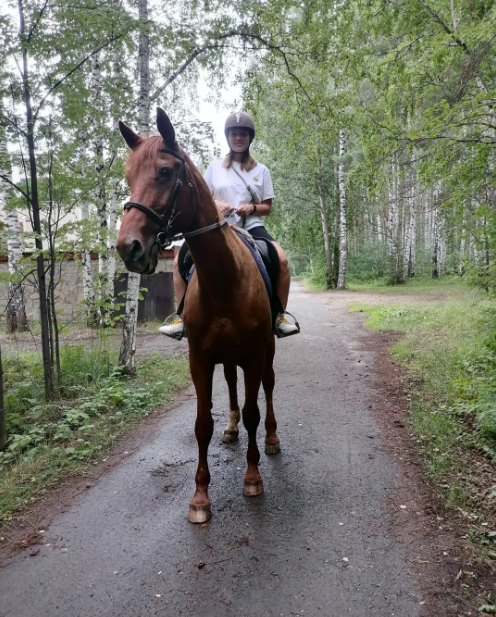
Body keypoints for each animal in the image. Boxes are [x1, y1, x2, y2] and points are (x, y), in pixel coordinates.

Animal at [114, 108, 280, 524]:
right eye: (128, 176)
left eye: (164, 172)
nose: (127, 247)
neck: (223, 279)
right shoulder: (200, 359)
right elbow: (202, 423)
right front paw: (200, 497)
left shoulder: (254, 354)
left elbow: (254, 411)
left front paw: (252, 478)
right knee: (232, 385)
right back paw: (231, 430)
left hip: (267, 351)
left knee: (268, 388)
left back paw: (272, 439)